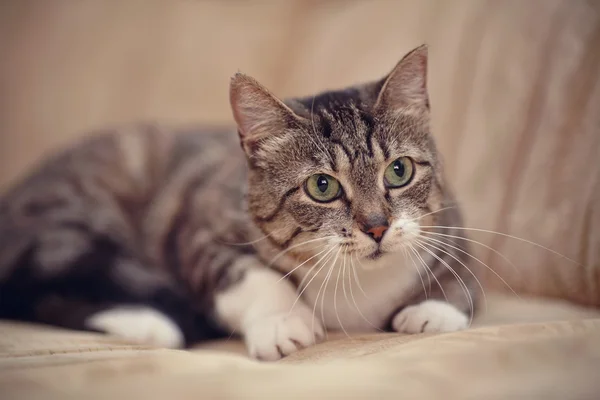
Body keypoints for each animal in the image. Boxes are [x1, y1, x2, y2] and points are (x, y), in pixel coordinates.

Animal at [0, 45, 478, 360]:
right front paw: (284, 322)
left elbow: (461, 269)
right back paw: (150, 324)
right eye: (322, 186)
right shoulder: (199, 225)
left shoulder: (452, 219)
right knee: (35, 291)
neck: (359, 284)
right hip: (68, 225)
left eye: (399, 171)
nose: (377, 226)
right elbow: (249, 276)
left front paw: (435, 309)